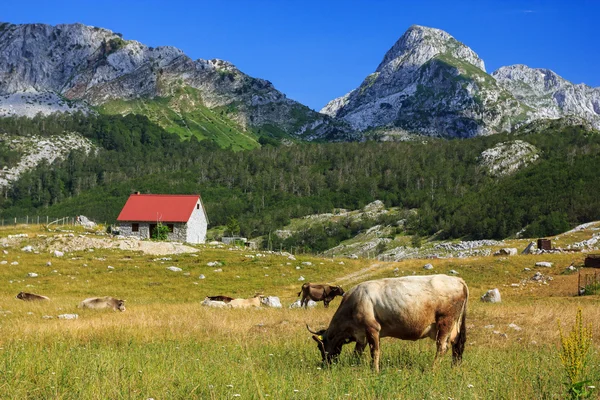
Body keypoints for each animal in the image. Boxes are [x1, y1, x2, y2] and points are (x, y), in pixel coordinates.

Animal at [310, 276, 468, 372]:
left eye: (320, 347)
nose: (325, 364)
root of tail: (458, 279)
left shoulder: (372, 328)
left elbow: (374, 351)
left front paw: (374, 370)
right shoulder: (361, 334)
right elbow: (357, 352)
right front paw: (355, 366)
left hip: (445, 322)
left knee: (442, 347)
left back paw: (432, 369)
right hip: (455, 326)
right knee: (456, 345)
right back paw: (454, 367)